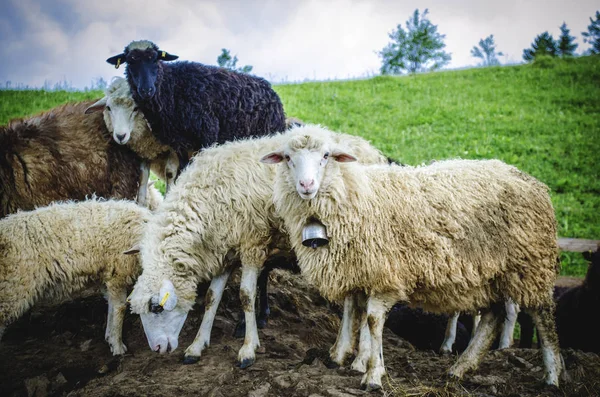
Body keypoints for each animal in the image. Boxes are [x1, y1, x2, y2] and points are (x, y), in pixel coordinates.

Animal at [0, 200, 152, 354]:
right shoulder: (117, 275)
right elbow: (119, 308)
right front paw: (117, 346)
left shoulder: (106, 275)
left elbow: (111, 306)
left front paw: (109, 337)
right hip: (12, 288)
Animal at [106, 39, 288, 171]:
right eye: (130, 61)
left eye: (155, 59)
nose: (146, 89)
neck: (172, 88)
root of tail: (269, 88)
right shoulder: (177, 141)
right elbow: (182, 169)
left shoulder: (207, 135)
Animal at [127, 124, 390, 368]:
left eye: (156, 308)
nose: (157, 348)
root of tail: (372, 149)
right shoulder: (225, 250)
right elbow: (212, 297)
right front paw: (196, 346)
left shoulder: (253, 243)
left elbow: (246, 295)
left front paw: (248, 349)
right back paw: (342, 351)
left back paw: (358, 358)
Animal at [262, 128, 564, 388]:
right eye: (287, 158)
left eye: (326, 156)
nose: (306, 184)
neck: (351, 194)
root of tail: (530, 180)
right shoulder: (358, 269)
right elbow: (352, 311)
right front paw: (345, 357)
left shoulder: (384, 274)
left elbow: (372, 320)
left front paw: (372, 372)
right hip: (492, 272)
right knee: (493, 316)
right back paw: (460, 368)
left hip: (530, 264)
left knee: (543, 317)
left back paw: (552, 375)